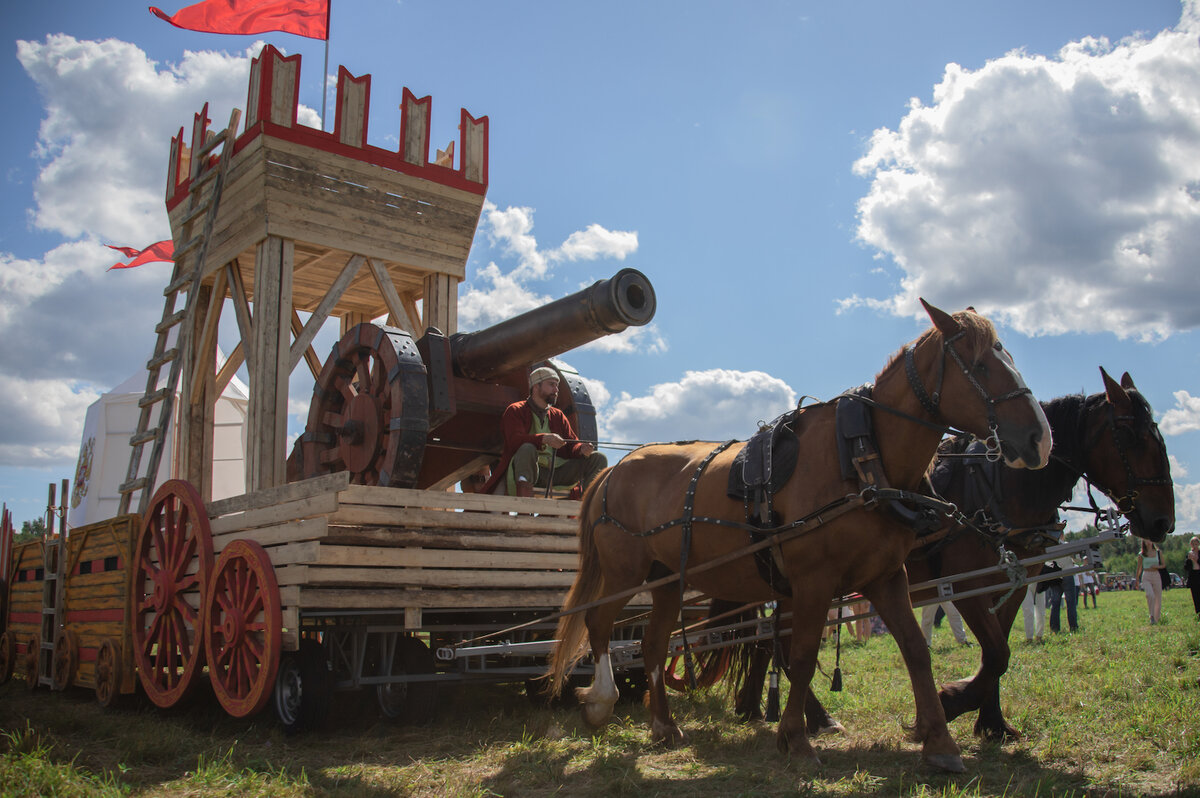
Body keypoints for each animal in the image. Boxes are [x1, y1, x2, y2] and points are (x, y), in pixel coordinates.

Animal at [547, 300, 1051, 772]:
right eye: (981, 364)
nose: (1039, 439)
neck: (861, 457)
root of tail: (614, 470)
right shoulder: (814, 581)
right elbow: (805, 654)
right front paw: (797, 739)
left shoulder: (886, 577)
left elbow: (915, 650)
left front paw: (940, 740)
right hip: (623, 572)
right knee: (598, 624)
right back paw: (601, 702)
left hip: (667, 579)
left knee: (652, 643)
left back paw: (663, 725)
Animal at [729, 367, 1171, 739]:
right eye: (1132, 438)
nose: (1163, 521)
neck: (998, 488)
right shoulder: (967, 586)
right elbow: (996, 654)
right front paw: (952, 702)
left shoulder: (1013, 582)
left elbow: (998, 652)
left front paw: (992, 723)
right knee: (777, 646)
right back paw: (803, 716)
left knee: (771, 645)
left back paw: (771, 710)